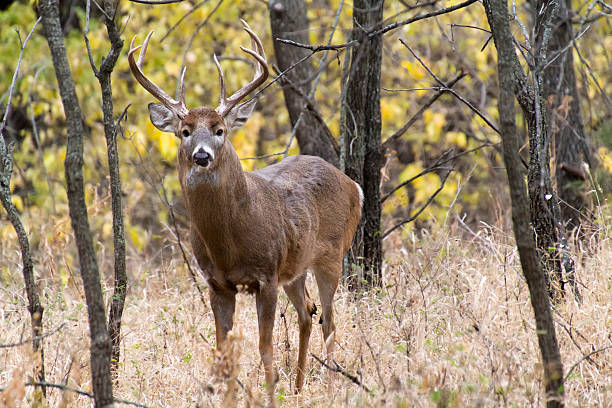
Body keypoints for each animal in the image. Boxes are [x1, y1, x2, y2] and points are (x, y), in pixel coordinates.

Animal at [126, 20, 360, 394]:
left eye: (220, 130)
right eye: (185, 131)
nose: (202, 156)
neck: (229, 241)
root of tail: (354, 185)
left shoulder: (266, 275)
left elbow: (265, 348)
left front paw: (270, 390)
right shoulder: (217, 283)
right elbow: (222, 350)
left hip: (332, 255)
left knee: (329, 319)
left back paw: (327, 384)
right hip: (295, 266)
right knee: (307, 312)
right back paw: (299, 386)